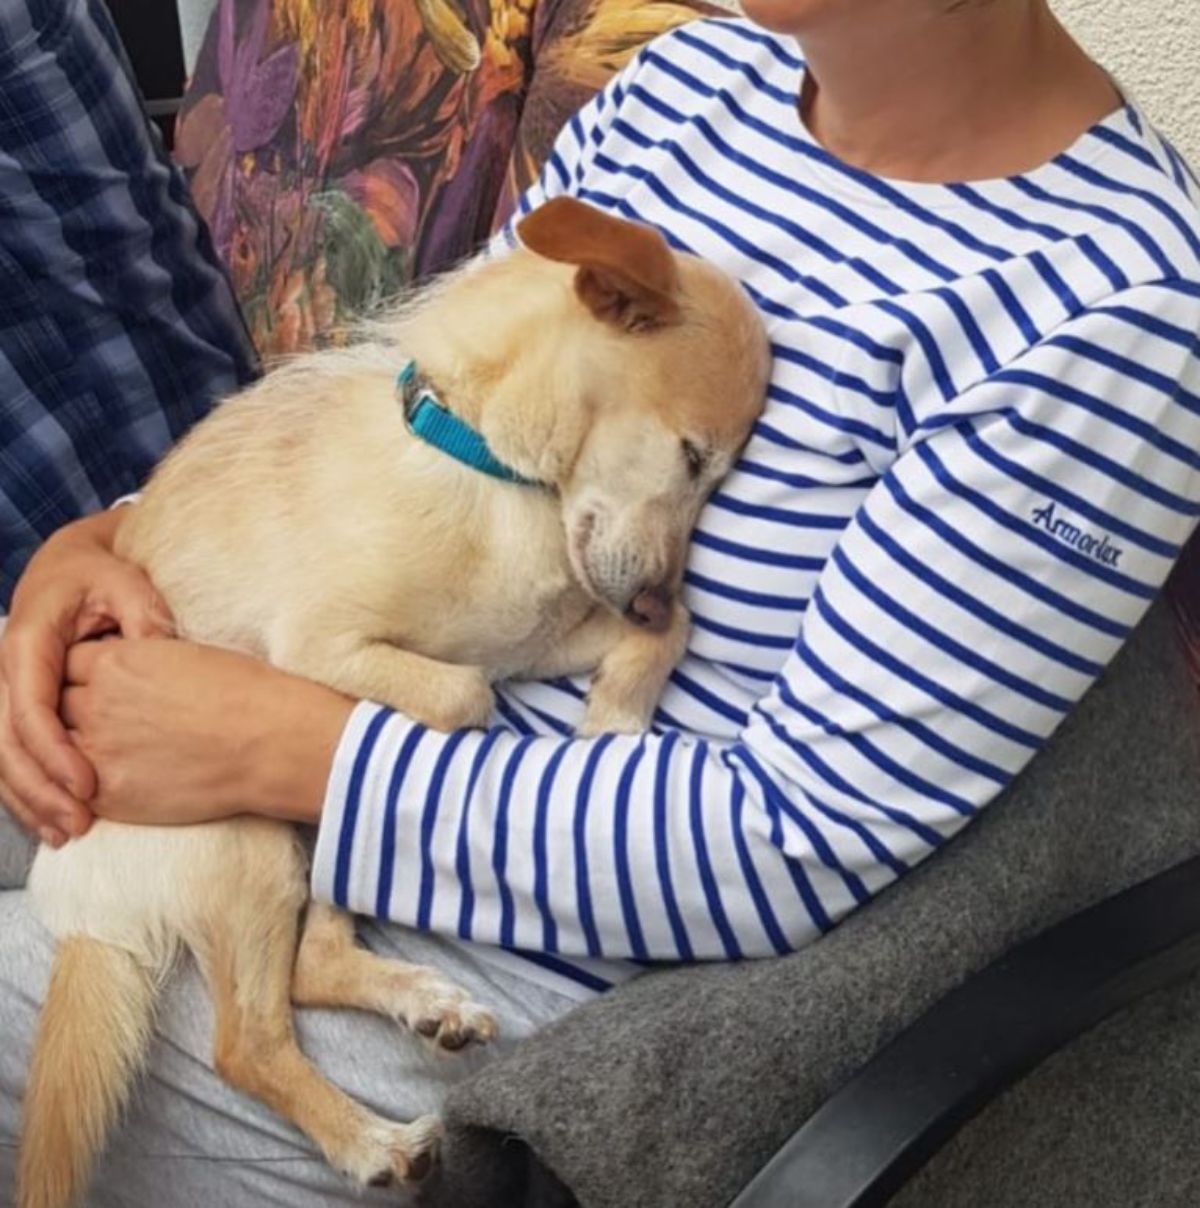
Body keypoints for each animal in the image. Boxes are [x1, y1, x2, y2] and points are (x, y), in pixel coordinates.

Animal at [16, 198, 768, 1208]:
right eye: (692, 458)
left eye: (720, 477)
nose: (647, 595)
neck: (494, 477)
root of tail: (82, 907)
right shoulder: (326, 648)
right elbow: (464, 692)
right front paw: (608, 708)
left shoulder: (540, 634)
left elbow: (661, 634)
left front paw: (616, 717)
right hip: (252, 843)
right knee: (246, 1041)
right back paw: (370, 1141)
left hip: (314, 839)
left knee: (310, 970)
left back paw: (425, 1006)